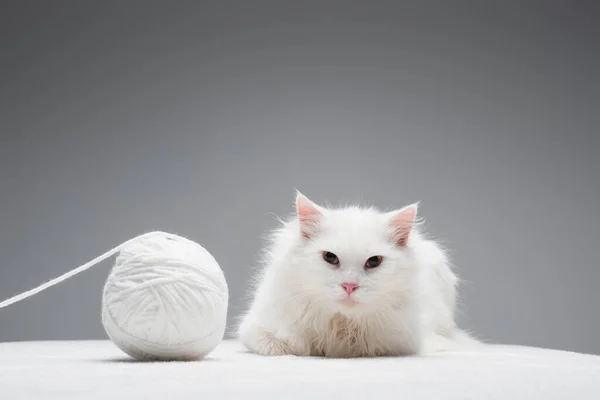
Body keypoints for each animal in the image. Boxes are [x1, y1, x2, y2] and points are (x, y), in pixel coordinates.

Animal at [237, 192, 476, 358]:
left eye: (374, 261)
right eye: (330, 257)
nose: (349, 286)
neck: (341, 325)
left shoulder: (401, 343)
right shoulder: (256, 330)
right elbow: (286, 347)